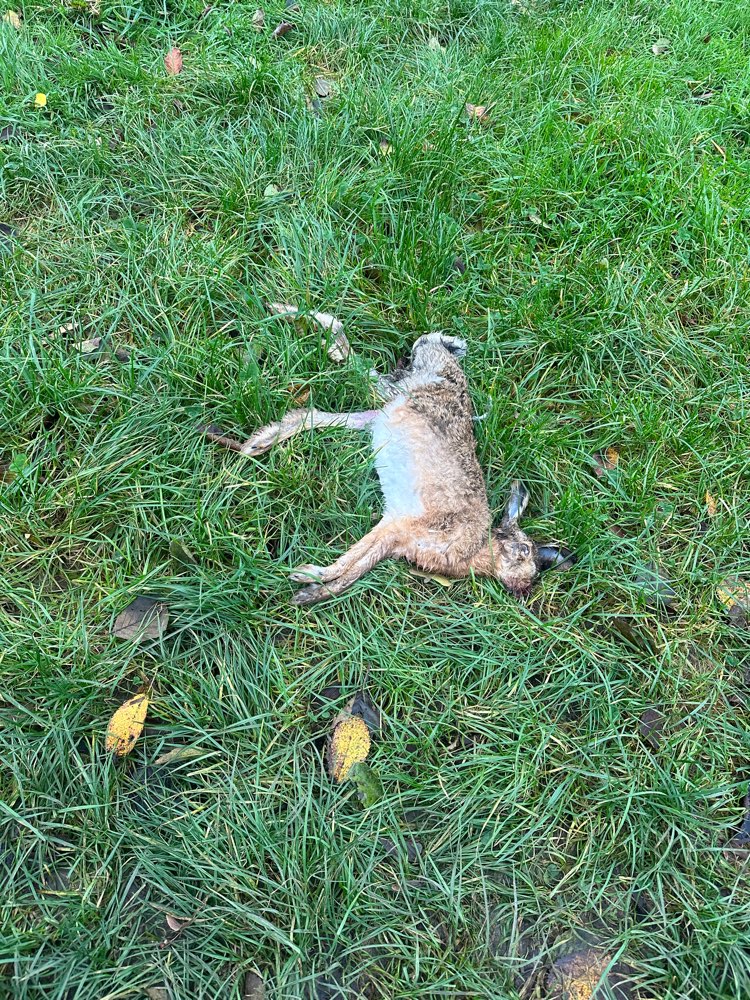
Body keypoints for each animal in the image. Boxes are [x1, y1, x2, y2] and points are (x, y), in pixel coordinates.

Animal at [203, 333, 573, 604]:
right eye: (524, 552)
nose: (525, 589)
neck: (477, 548)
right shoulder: (400, 525)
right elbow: (350, 562)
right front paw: (305, 575)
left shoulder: (395, 539)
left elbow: (355, 571)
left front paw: (307, 593)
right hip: (405, 390)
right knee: (363, 362)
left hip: (382, 413)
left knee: (317, 412)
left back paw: (258, 443)